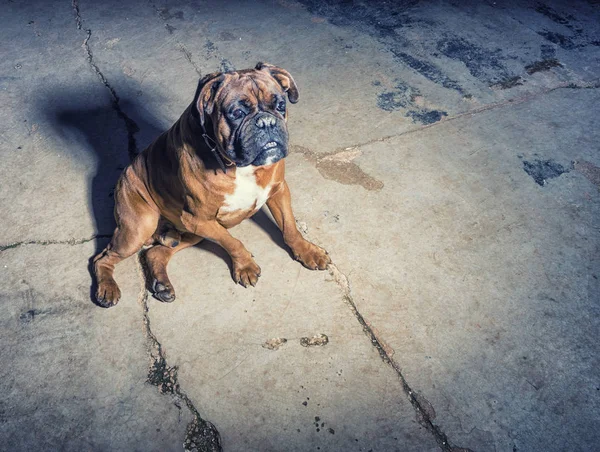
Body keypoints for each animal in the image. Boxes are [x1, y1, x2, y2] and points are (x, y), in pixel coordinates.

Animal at [92, 62, 332, 308]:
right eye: (237, 113)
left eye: (280, 105)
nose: (266, 122)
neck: (239, 166)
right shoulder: (199, 220)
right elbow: (232, 242)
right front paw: (245, 266)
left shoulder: (278, 191)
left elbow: (289, 227)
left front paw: (307, 250)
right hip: (139, 230)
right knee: (101, 258)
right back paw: (108, 289)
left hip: (188, 235)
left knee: (154, 253)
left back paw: (163, 285)